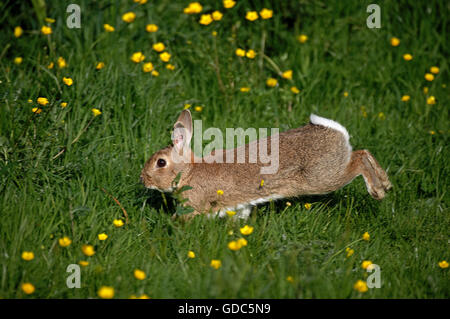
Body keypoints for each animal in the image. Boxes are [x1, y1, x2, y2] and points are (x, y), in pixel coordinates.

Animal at [141, 110, 390, 220]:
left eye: (160, 163)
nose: (143, 179)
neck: (188, 172)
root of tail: (336, 133)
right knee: (363, 152)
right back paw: (385, 184)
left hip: (323, 177)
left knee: (358, 160)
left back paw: (377, 190)